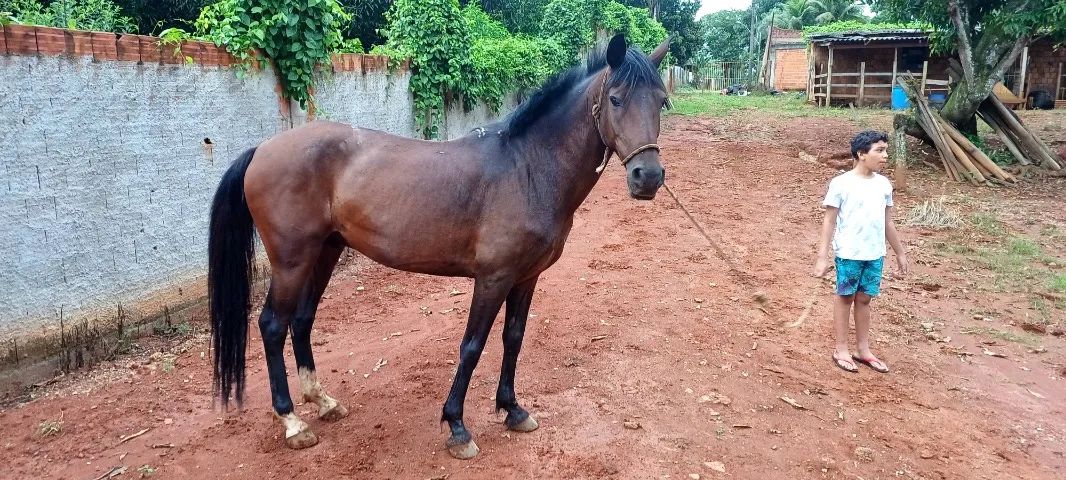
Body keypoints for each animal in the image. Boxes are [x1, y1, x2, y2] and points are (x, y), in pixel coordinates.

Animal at [207, 33, 671, 459]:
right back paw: (292, 422)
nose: (648, 177)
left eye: (662, 102)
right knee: (272, 325)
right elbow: (472, 347)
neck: (528, 167)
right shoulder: (493, 278)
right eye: (615, 99)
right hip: (292, 260)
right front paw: (458, 427)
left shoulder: (526, 277)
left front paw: (513, 410)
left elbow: (514, 338)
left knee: (302, 321)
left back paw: (322, 402)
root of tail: (262, 149)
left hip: (325, 251)